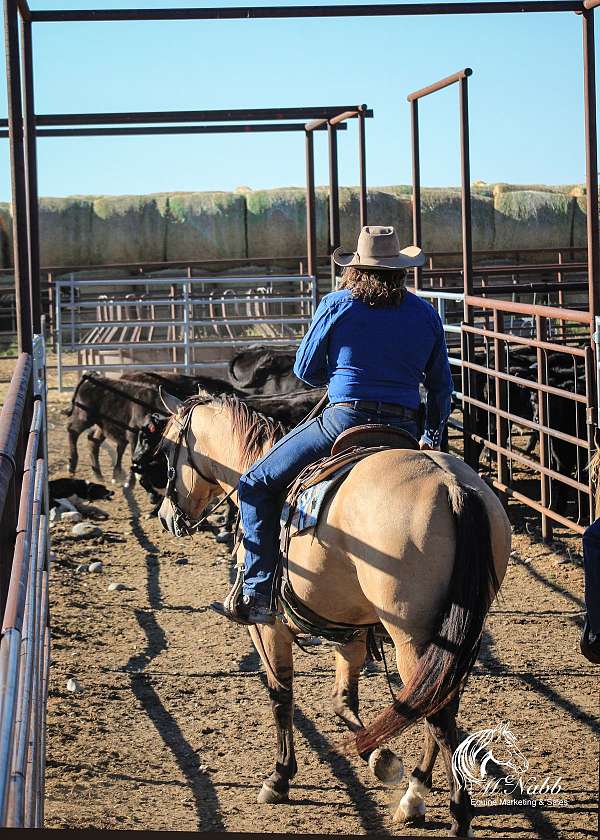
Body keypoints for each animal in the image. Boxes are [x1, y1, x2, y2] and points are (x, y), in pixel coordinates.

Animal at [156, 390, 510, 836]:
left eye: (165, 447)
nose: (165, 517)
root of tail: (452, 486)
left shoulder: (268, 628)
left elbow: (281, 694)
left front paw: (279, 777)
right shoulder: (351, 630)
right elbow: (343, 701)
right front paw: (378, 756)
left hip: (412, 637)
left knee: (437, 713)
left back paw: (457, 815)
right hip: (453, 635)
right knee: (436, 699)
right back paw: (414, 794)